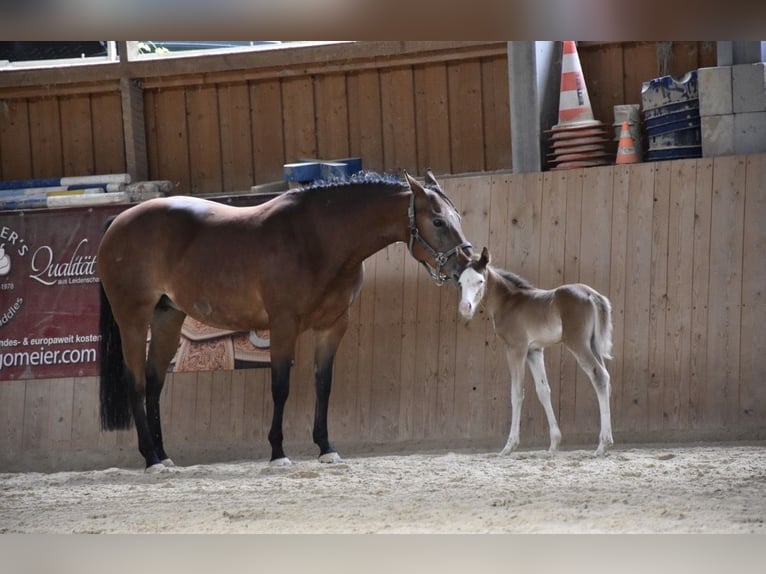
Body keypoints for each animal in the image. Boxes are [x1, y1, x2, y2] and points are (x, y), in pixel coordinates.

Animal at [97, 170, 473, 472]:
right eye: (438, 221)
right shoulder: (283, 325)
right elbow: (281, 388)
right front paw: (278, 452)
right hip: (133, 319)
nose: (466, 265)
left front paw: (326, 448)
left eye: (457, 216)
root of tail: (118, 221)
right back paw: (151, 459)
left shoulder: (333, 326)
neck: (316, 239)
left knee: (154, 384)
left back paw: (163, 455)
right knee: (136, 383)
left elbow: (323, 385)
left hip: (168, 317)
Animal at [457, 247, 614, 457]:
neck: (508, 302)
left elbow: (516, 393)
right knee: (605, 378)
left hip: (578, 344)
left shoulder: (516, 349)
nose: (465, 308)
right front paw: (554, 444)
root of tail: (591, 294)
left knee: (599, 376)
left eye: (480, 281)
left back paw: (603, 445)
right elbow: (543, 391)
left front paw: (509, 446)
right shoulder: (534, 351)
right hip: (593, 344)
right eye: (460, 282)